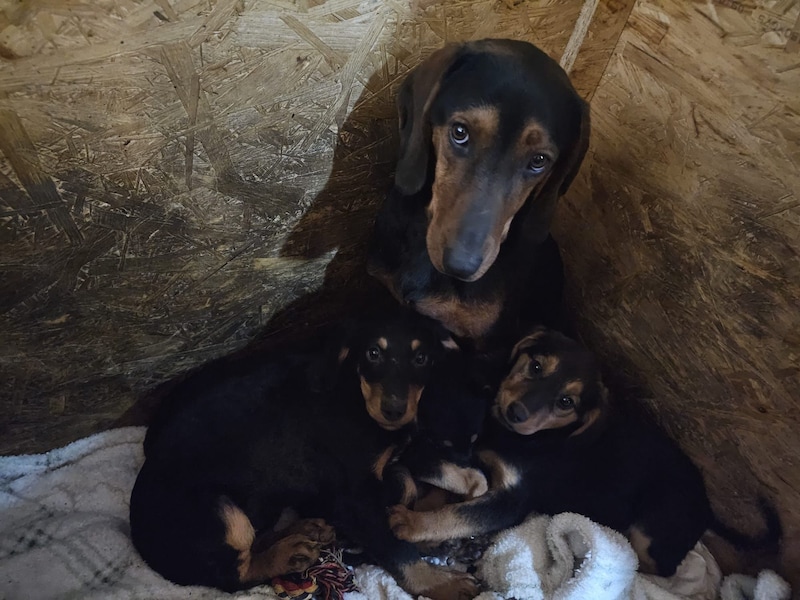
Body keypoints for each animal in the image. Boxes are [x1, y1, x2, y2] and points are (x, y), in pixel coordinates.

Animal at [130, 314, 482, 600]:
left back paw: (305, 531)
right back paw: (287, 554)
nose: (394, 410)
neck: (355, 394)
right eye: (373, 353)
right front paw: (441, 582)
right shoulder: (352, 498)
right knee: (232, 573)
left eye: (422, 358)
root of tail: (140, 541)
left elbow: (406, 487)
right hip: (221, 510)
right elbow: (395, 546)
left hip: (263, 501)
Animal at [390, 328, 784, 576]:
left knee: (658, 567)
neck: (527, 439)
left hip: (652, 528)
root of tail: (707, 506)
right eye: (535, 366)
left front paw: (411, 523)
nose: (516, 412)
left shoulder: (514, 498)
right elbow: (451, 481)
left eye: (566, 402)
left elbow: (461, 513)